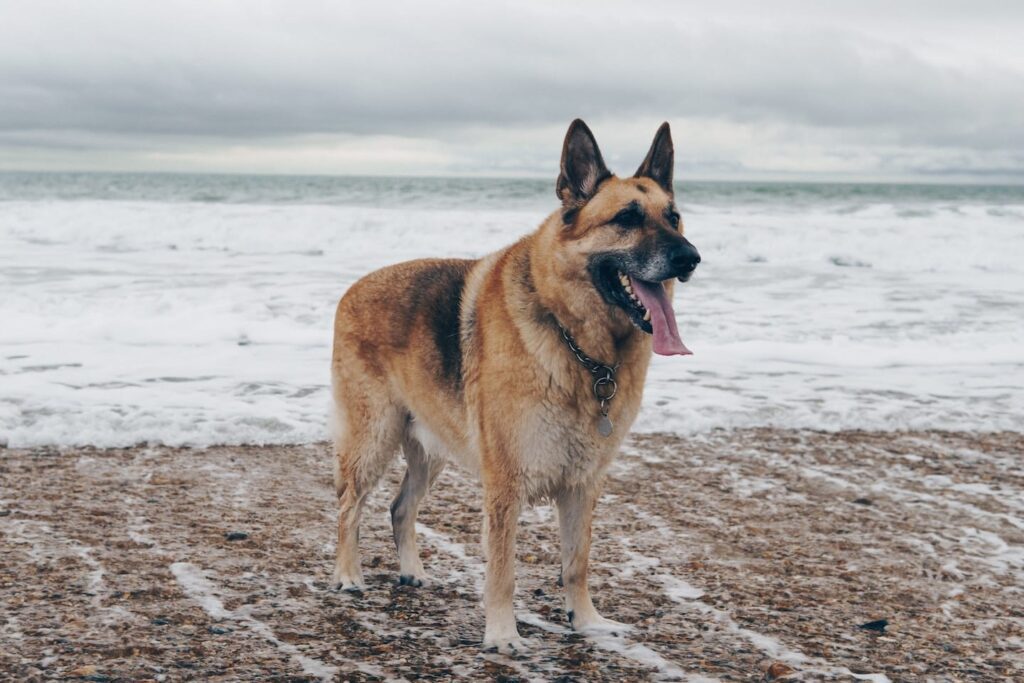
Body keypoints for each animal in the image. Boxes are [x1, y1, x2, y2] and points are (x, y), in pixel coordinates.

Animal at [331, 121, 700, 651]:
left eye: (674, 217)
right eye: (627, 218)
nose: (691, 258)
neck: (578, 345)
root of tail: (353, 287)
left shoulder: (583, 486)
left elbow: (577, 563)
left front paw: (586, 621)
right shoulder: (505, 485)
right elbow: (503, 570)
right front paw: (503, 634)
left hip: (430, 451)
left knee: (401, 509)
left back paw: (411, 571)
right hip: (373, 439)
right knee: (349, 506)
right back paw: (347, 574)